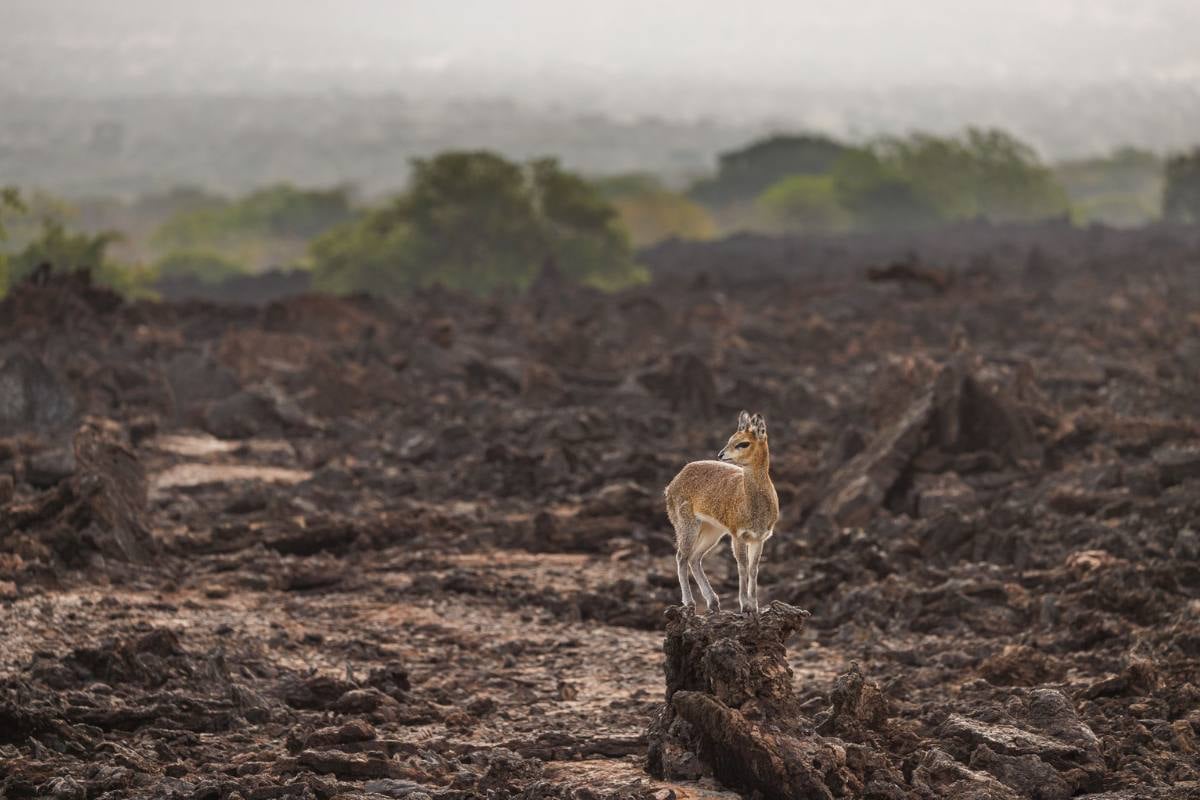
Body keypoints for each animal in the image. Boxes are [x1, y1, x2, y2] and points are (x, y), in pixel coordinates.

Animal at [667, 412, 777, 614]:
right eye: (730, 439)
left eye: (743, 443)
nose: (721, 454)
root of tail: (674, 480)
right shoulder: (738, 535)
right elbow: (741, 567)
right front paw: (744, 605)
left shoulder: (759, 538)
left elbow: (753, 569)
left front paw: (755, 606)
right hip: (687, 527)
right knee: (681, 556)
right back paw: (690, 603)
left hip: (713, 531)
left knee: (694, 558)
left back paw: (713, 602)